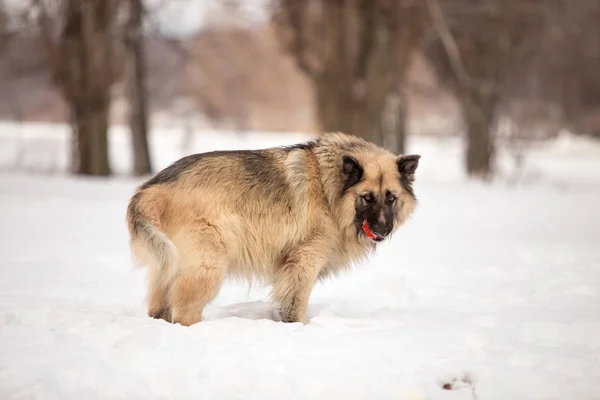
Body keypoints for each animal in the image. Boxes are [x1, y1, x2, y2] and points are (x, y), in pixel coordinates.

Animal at [125, 133, 420, 326]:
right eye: (367, 197)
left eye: (391, 197)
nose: (383, 229)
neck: (330, 190)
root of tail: (150, 189)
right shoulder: (303, 263)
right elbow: (295, 306)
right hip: (207, 266)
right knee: (184, 312)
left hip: (167, 264)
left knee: (159, 307)